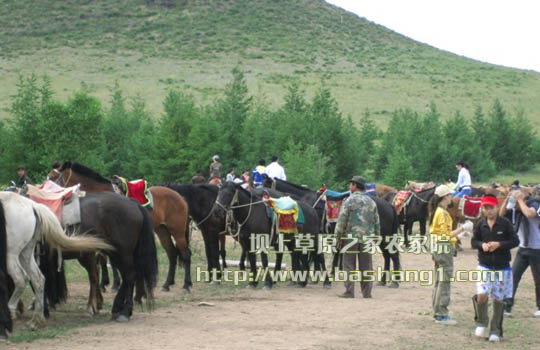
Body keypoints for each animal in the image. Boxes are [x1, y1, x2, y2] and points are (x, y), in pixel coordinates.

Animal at [47, 162, 192, 292]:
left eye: (53, 178)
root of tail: (179, 197)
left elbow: (110, 261)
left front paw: (114, 284)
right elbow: (104, 259)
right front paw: (106, 283)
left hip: (177, 231)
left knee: (186, 253)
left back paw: (186, 285)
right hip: (162, 230)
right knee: (172, 254)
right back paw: (167, 284)